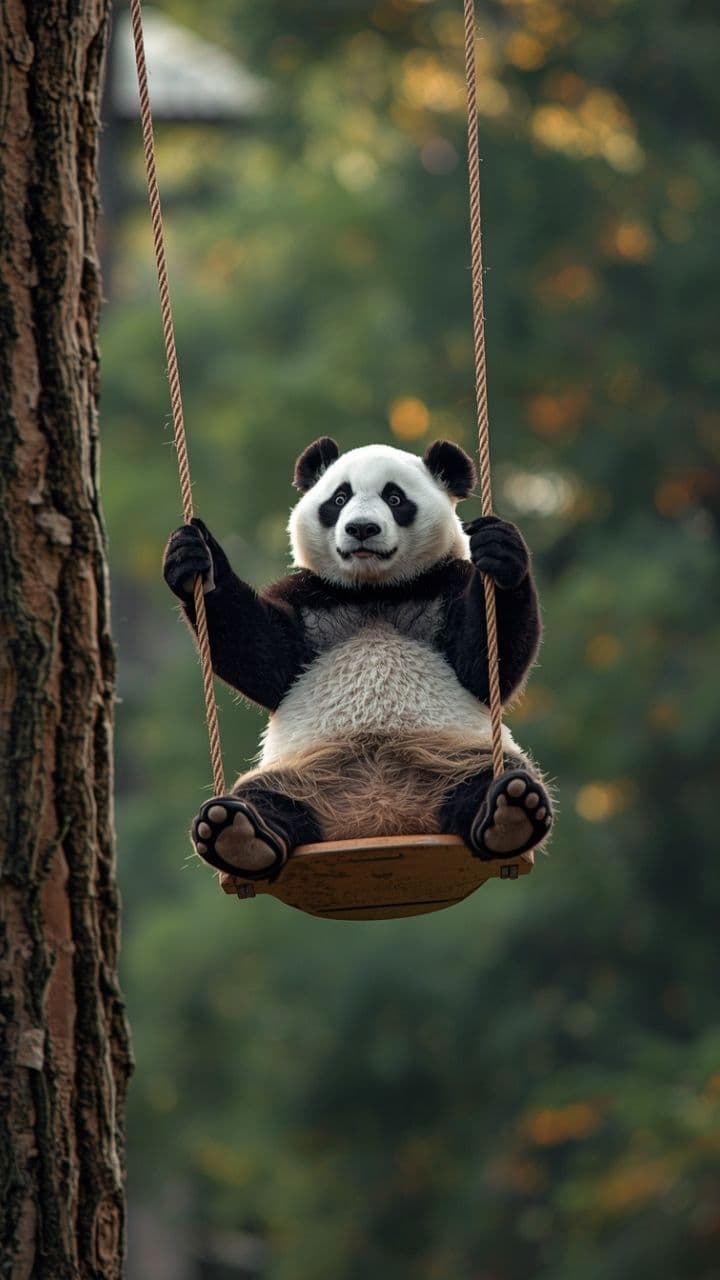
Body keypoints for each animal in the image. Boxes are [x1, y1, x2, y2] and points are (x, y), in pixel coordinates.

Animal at [163, 437, 553, 882]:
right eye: (339, 498)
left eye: (395, 498)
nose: (361, 528)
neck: (373, 591)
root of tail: (381, 820)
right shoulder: (311, 597)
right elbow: (262, 656)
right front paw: (196, 560)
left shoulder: (443, 584)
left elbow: (485, 666)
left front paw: (501, 554)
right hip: (306, 771)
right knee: (264, 798)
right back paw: (238, 836)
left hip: (450, 755)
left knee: (497, 776)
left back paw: (510, 816)